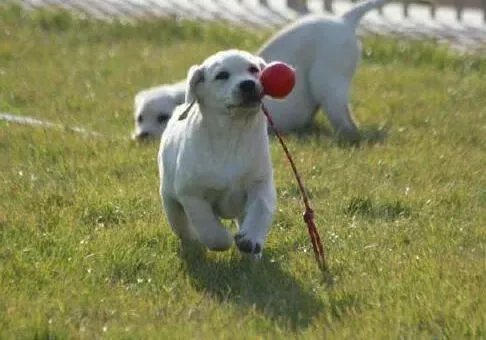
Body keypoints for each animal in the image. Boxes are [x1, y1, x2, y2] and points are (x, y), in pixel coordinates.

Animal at [133, 0, 392, 142]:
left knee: (345, 121)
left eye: (162, 118)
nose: (142, 136)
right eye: (139, 119)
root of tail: (345, 19)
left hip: (328, 82)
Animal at [158, 49, 276, 258]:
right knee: (183, 228)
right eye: (222, 75)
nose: (248, 84)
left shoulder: (261, 184)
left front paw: (251, 240)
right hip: (170, 201)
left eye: (253, 69)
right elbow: (209, 228)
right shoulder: (192, 194)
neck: (232, 132)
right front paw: (222, 239)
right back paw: (192, 245)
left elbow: (261, 209)